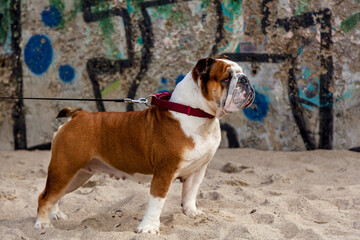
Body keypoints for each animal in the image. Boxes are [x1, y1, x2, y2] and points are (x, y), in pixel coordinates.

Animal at [33, 57, 253, 233]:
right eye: (226, 78)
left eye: (241, 73)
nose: (245, 79)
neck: (196, 113)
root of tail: (78, 115)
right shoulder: (164, 172)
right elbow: (157, 202)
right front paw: (148, 228)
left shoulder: (198, 170)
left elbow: (190, 194)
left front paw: (191, 213)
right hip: (64, 169)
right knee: (45, 196)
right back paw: (42, 224)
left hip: (78, 174)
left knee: (56, 195)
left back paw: (56, 215)